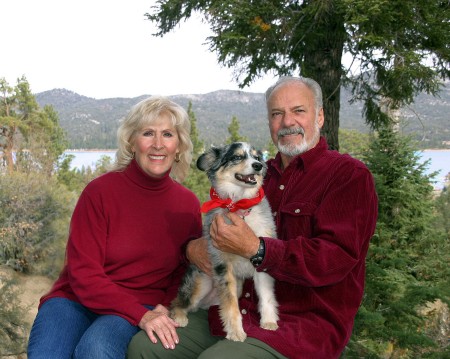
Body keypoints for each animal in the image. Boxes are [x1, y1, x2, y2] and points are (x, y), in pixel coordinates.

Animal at [171, 142, 280, 342]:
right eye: (237, 157)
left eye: (257, 157)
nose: (258, 166)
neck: (239, 205)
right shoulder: (222, 265)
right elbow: (230, 304)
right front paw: (236, 331)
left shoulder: (261, 259)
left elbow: (266, 295)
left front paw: (269, 321)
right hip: (202, 281)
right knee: (178, 301)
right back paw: (179, 316)